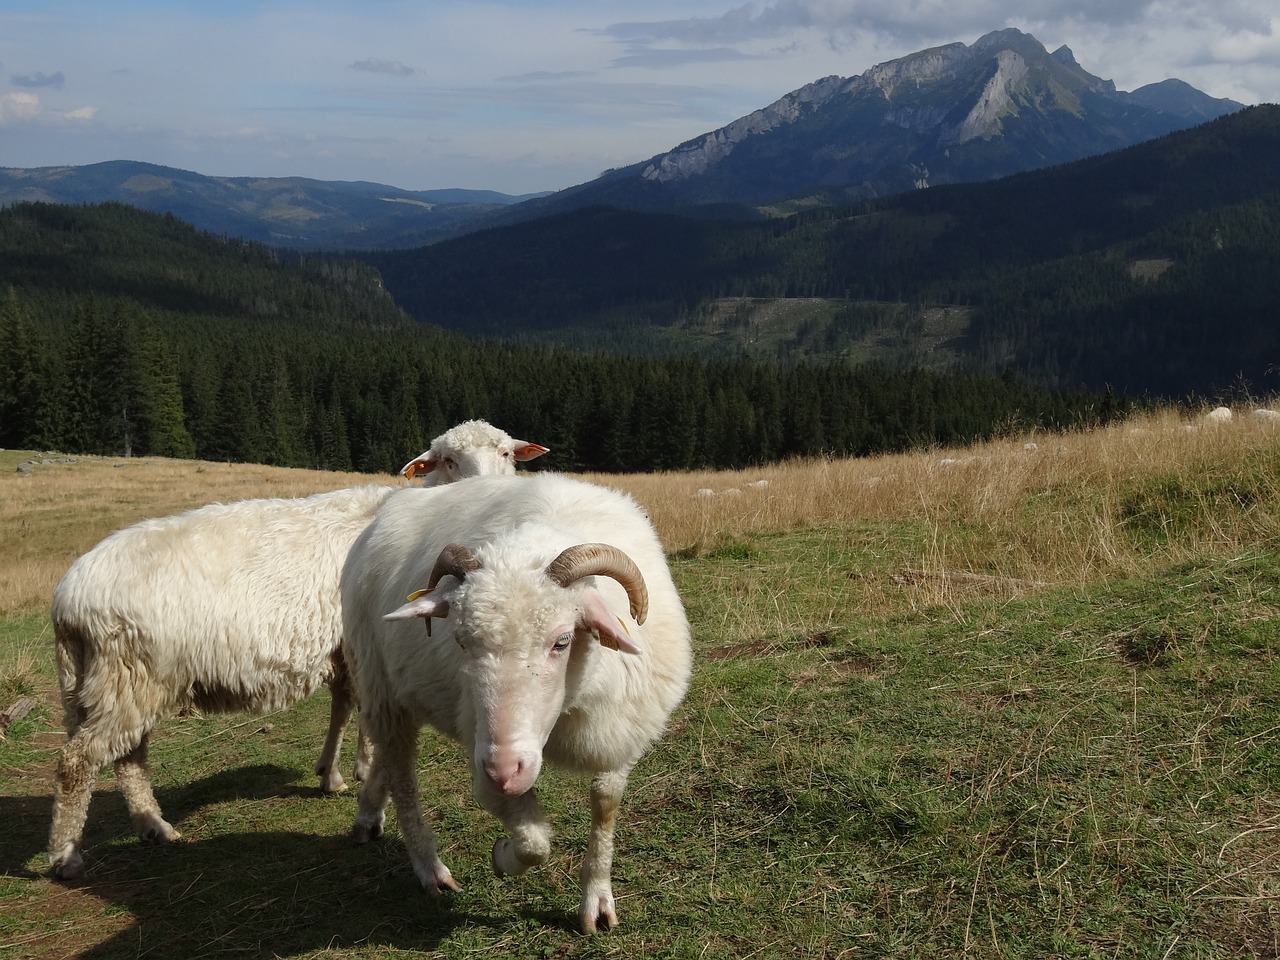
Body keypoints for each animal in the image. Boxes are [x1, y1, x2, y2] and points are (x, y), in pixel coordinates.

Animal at [43, 419, 545, 880]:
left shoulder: (346, 649)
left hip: (106, 683)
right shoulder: (361, 645)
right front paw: (360, 771)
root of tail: (67, 599)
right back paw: (67, 855)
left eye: (506, 453)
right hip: (128, 676)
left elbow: (344, 707)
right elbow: (363, 713)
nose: (487, 492)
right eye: (447, 460)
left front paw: (336, 771)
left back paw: (153, 827)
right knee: (79, 762)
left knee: (127, 759)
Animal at [343, 473, 691, 931]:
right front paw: (504, 857)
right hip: (379, 683)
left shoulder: (619, 733)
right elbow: (534, 842)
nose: (504, 770)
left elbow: (605, 804)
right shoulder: (482, 750)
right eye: (460, 641)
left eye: (563, 640)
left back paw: (369, 812)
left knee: (387, 757)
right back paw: (429, 868)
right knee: (401, 773)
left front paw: (597, 901)